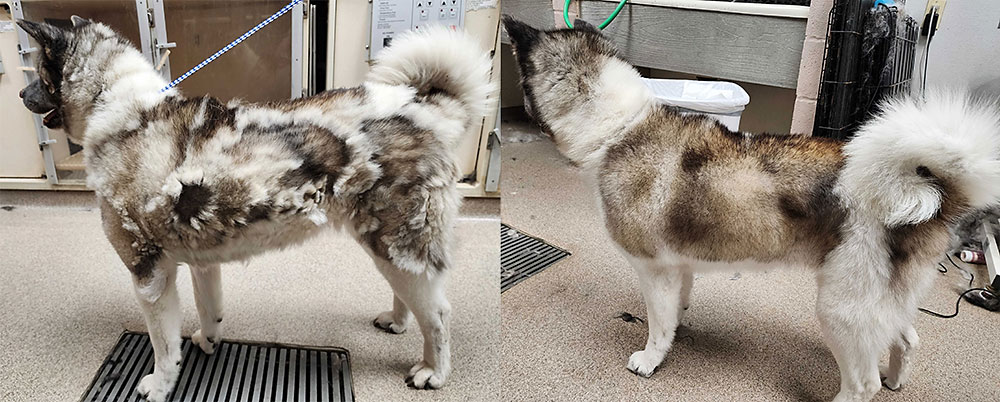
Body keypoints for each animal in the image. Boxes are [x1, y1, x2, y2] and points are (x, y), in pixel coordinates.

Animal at [17, 17, 494, 400]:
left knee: (438, 315)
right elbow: (209, 309)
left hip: (397, 245)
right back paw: (396, 321)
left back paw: (434, 371)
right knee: (412, 299)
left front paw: (161, 384)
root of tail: (428, 109)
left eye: (39, 71)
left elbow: (163, 346)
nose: (20, 93)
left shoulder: (149, 275)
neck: (116, 107)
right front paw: (208, 341)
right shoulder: (201, 263)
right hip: (388, 248)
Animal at [504, 16, 1000, 402]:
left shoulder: (655, 271)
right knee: (908, 338)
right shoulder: (678, 266)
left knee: (862, 386)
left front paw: (651, 359)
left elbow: (658, 326)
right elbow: (676, 309)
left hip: (842, 309)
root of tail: (932, 188)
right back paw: (896, 379)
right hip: (878, 304)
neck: (618, 127)